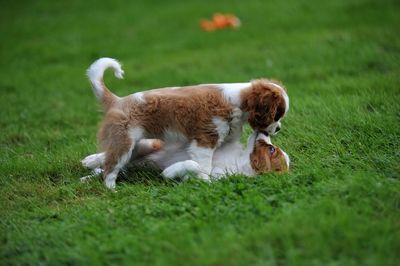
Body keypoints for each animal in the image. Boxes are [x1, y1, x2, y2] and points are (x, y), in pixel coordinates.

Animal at [86, 57, 290, 188]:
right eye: (276, 116)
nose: (278, 129)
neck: (236, 100)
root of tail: (117, 101)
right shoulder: (205, 139)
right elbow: (203, 165)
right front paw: (203, 178)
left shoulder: (228, 138)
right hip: (124, 142)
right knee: (111, 167)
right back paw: (111, 187)